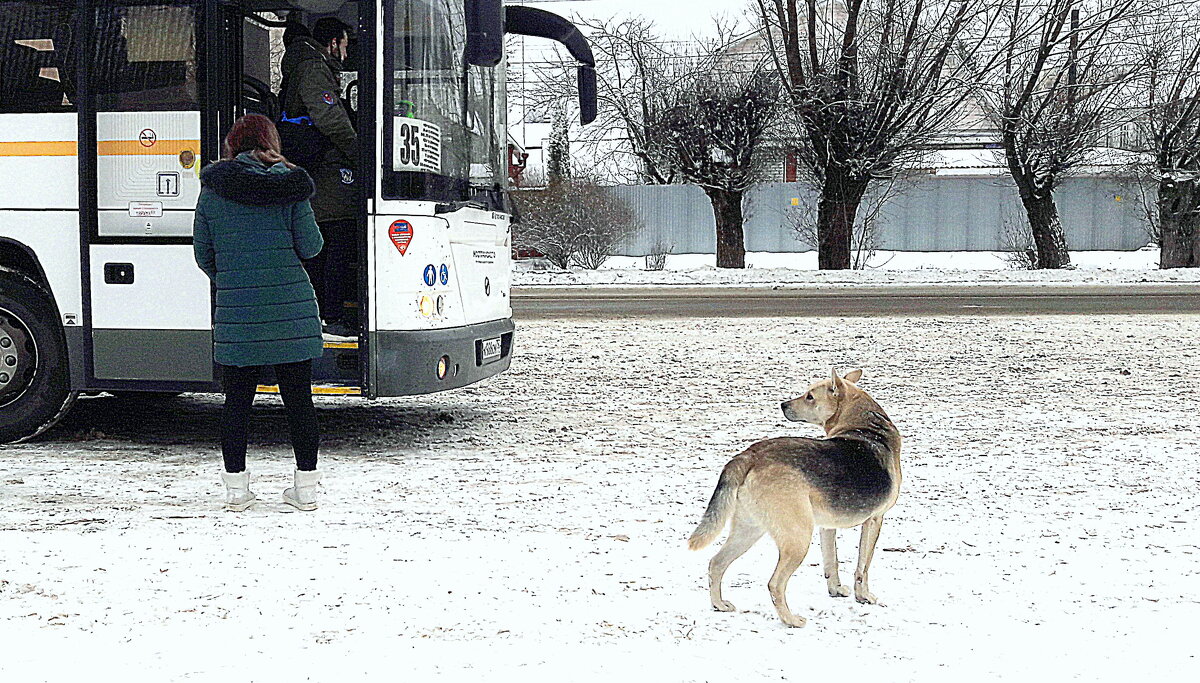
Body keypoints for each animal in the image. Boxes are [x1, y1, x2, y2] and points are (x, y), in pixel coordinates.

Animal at [686, 369, 902, 624]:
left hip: (749, 530)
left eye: (809, 396)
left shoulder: (827, 526)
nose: (782, 404)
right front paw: (865, 597)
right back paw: (791, 620)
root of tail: (749, 455)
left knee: (716, 563)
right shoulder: (875, 520)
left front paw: (836, 590)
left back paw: (720, 604)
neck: (867, 427)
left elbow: (832, 562)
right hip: (797, 539)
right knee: (774, 584)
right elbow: (863, 568)